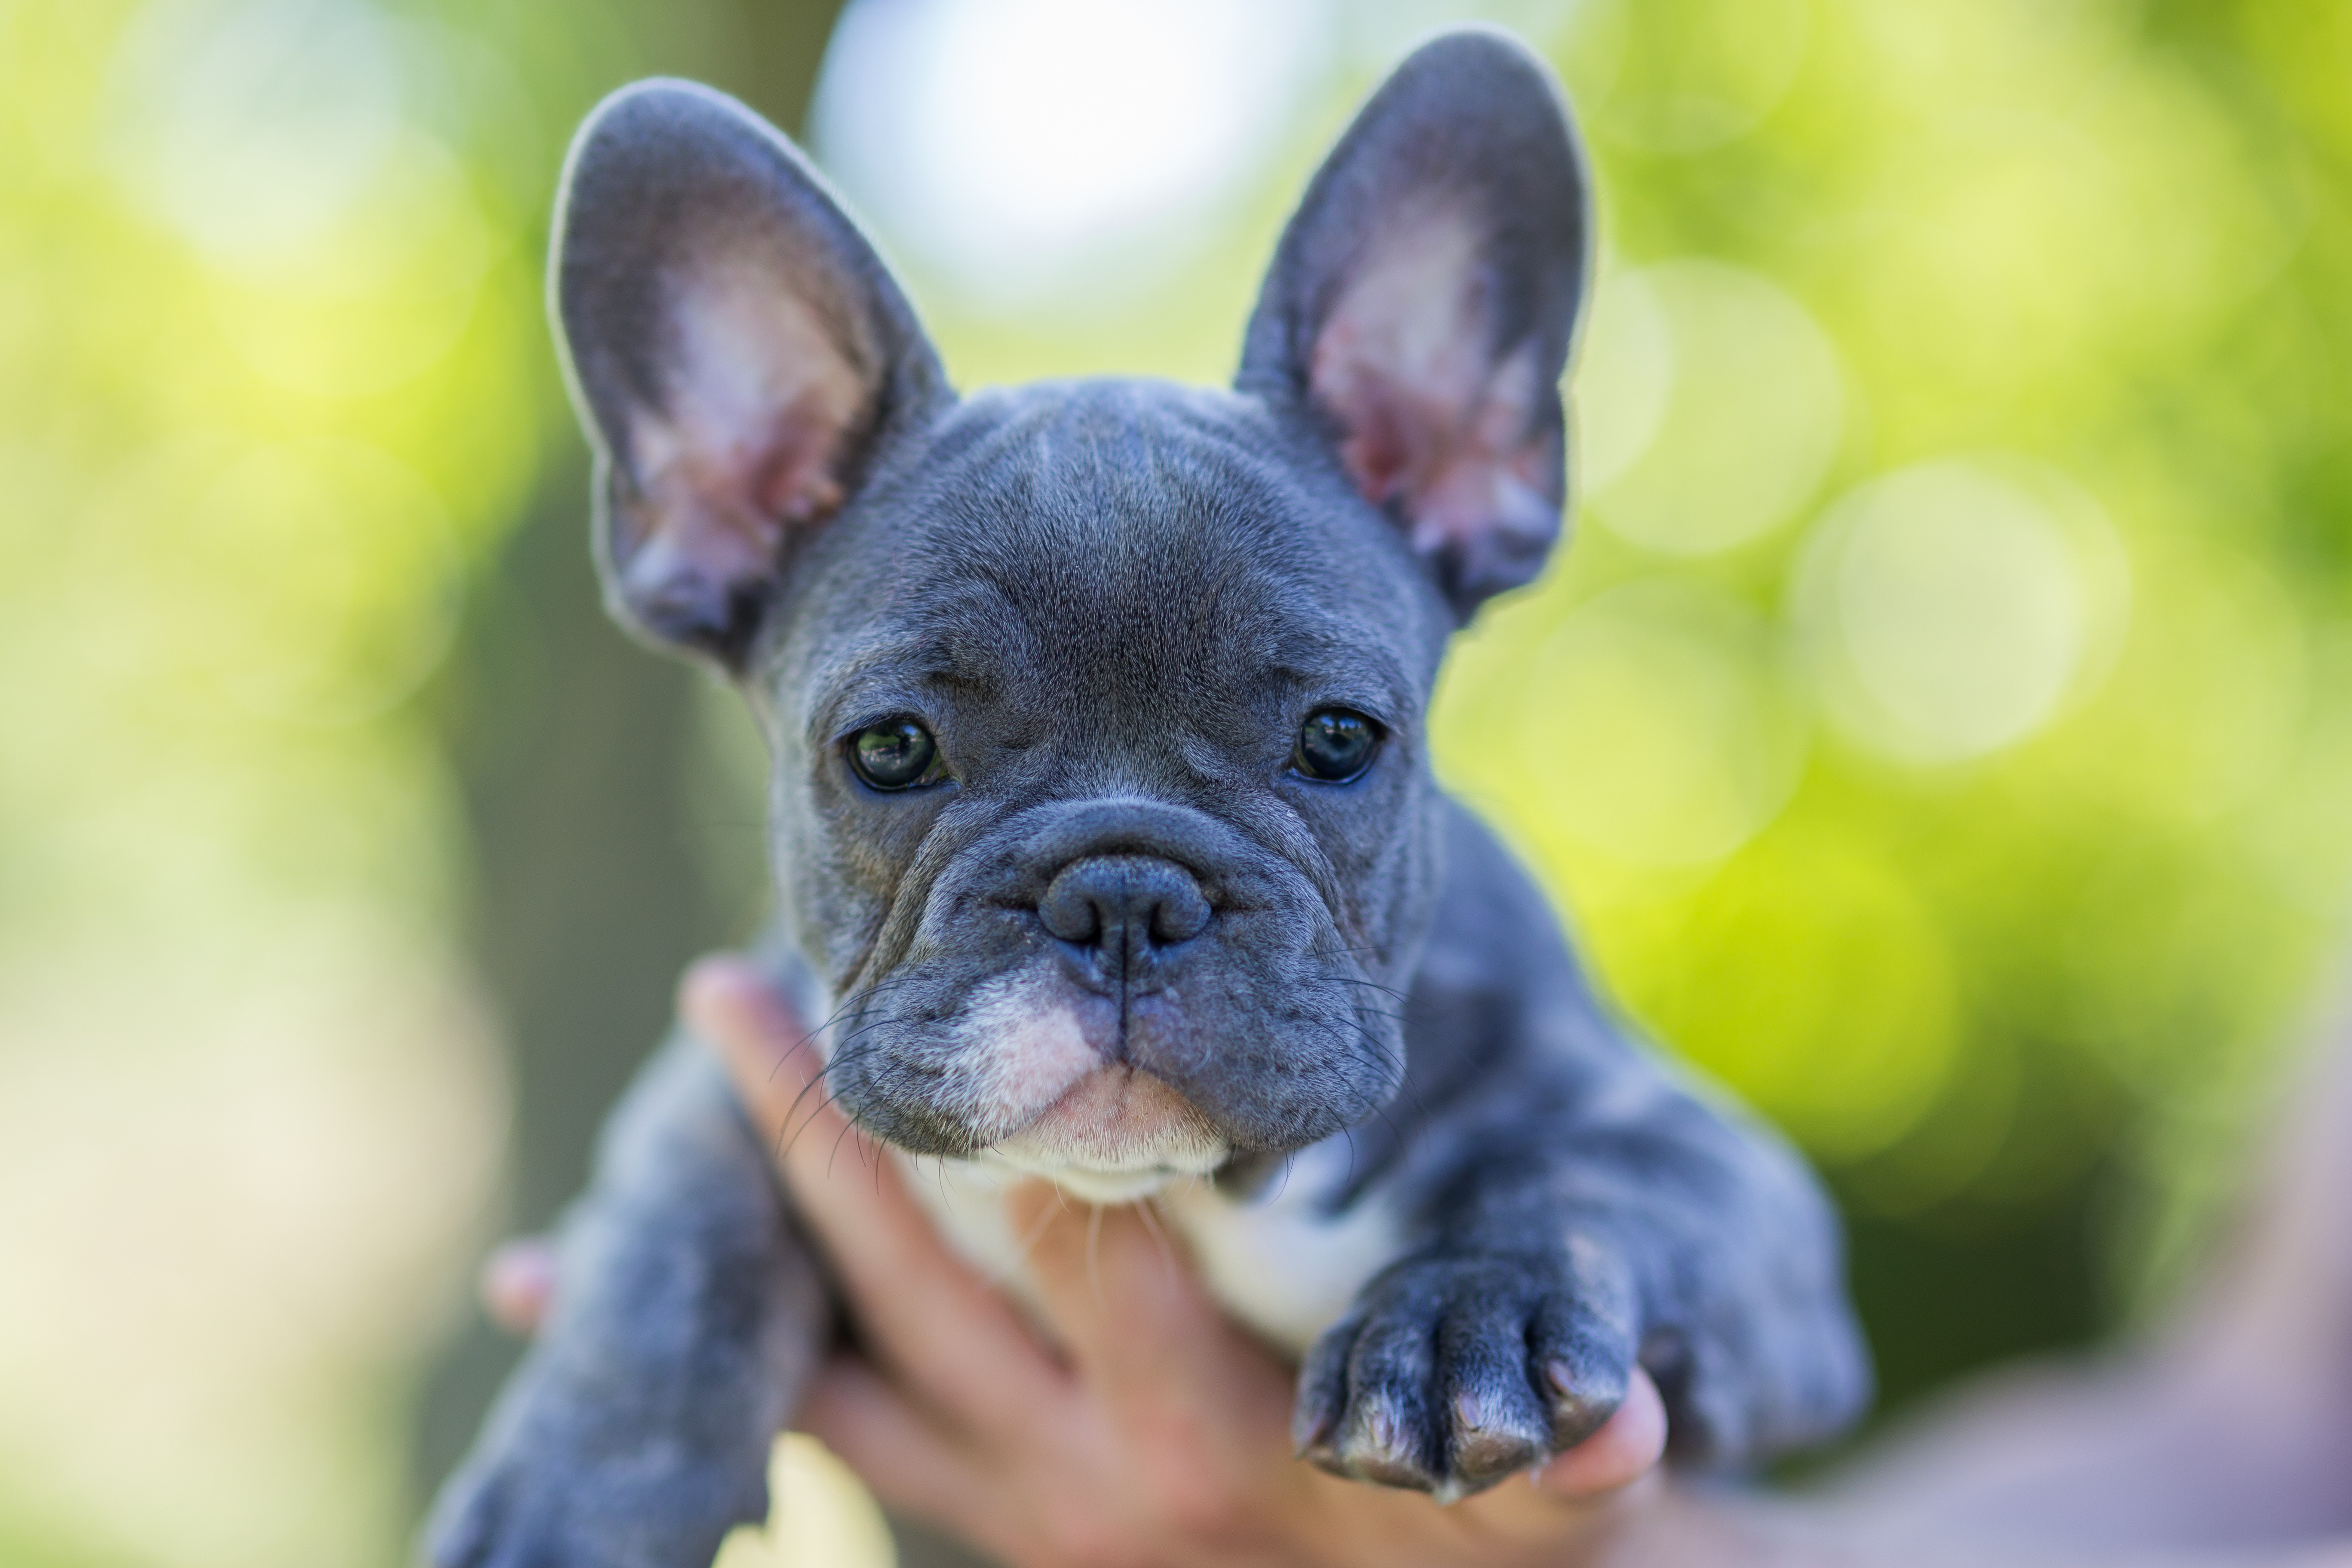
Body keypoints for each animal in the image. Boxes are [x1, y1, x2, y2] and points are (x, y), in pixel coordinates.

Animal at [432, 28, 1872, 1568]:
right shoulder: (732, 1071)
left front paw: (1460, 1321)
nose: (1122, 895)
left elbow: (1590, 1183)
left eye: (1339, 739)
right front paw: (574, 1492)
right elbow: (670, 1238)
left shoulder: (1736, 1196)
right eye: (890, 749)